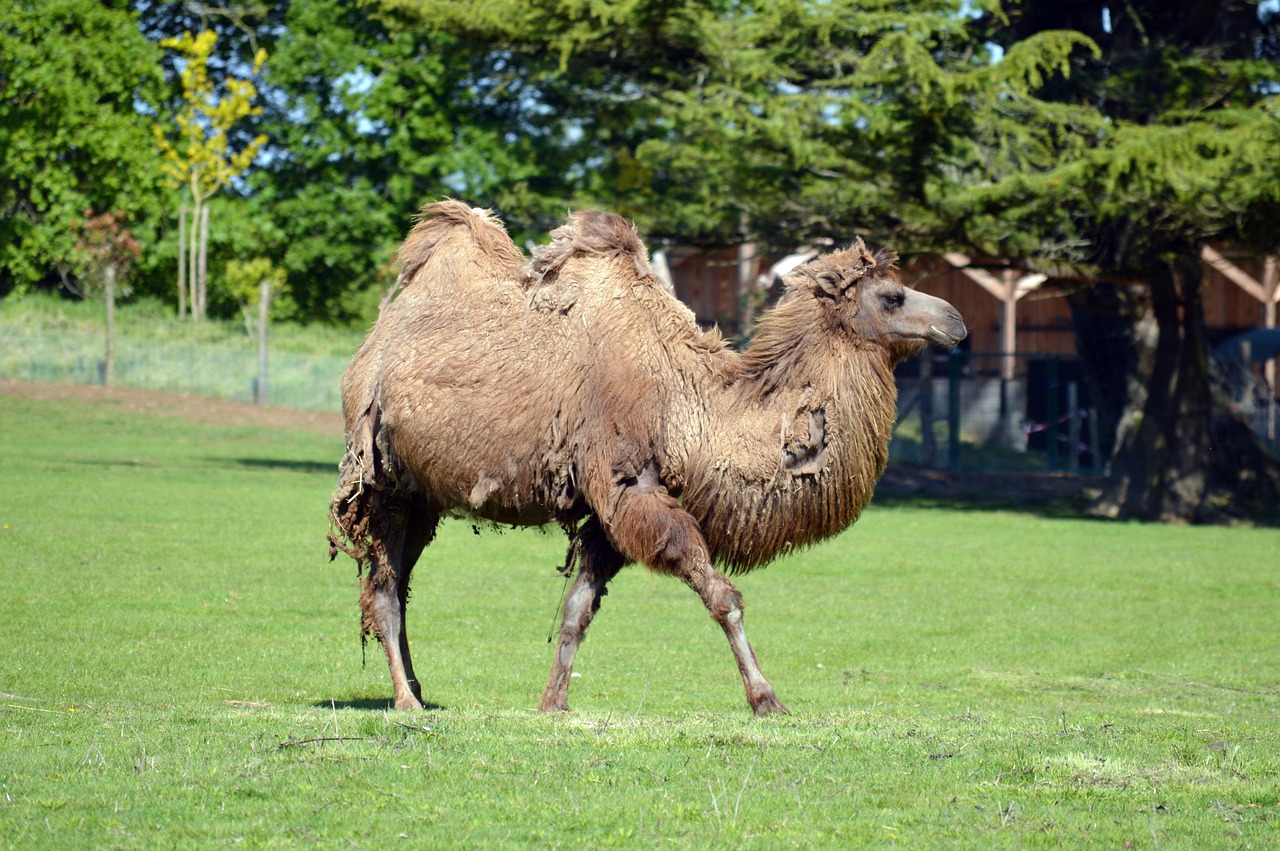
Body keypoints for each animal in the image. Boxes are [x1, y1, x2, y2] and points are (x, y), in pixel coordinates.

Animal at [325, 202, 962, 711]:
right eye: (892, 296)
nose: (955, 321)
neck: (692, 409)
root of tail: (372, 346)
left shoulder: (611, 513)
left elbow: (577, 608)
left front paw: (552, 703)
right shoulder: (631, 486)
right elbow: (721, 596)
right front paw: (767, 699)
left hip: (424, 495)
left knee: (398, 582)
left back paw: (418, 688)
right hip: (380, 475)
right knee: (383, 587)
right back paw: (407, 701)